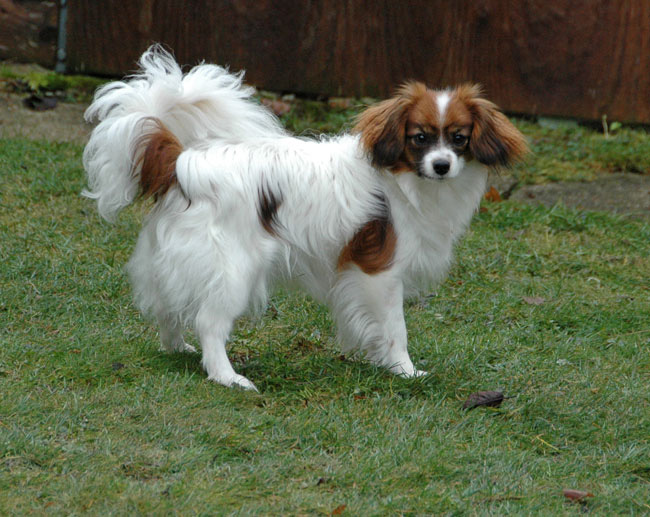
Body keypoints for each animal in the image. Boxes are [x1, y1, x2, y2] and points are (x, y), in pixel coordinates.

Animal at [83, 46, 527, 391]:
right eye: (419, 138)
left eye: (459, 139)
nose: (441, 166)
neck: (405, 181)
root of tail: (182, 165)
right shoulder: (380, 272)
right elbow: (395, 329)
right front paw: (404, 370)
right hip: (235, 270)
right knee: (209, 322)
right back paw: (227, 376)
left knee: (169, 308)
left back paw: (179, 349)